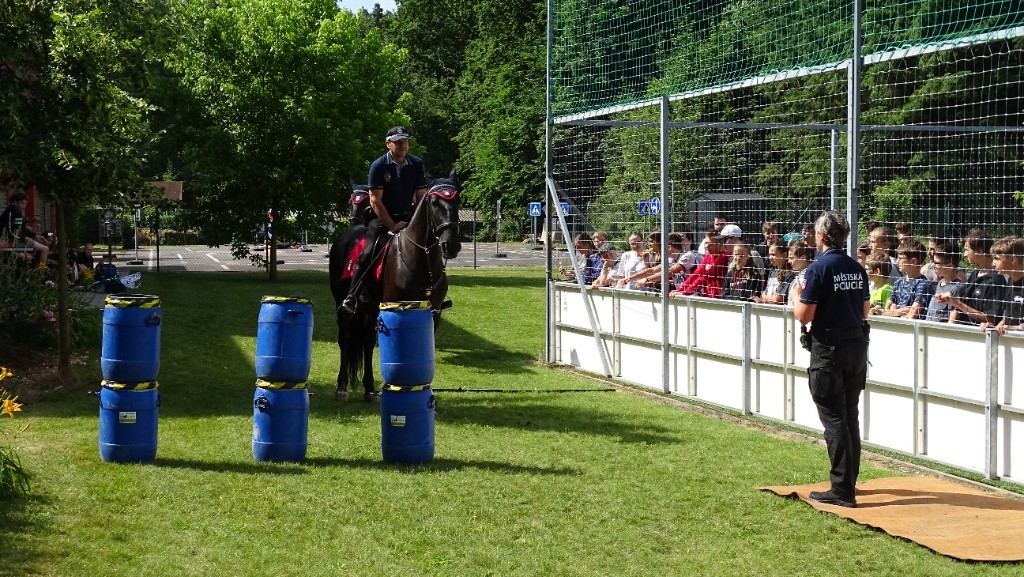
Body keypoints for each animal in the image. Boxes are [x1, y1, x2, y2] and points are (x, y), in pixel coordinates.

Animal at [328, 171, 462, 402]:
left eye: (457, 200)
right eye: (434, 203)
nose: (451, 244)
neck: (421, 260)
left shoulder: (433, 313)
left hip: (372, 307)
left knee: (368, 342)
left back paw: (369, 388)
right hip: (342, 304)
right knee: (345, 339)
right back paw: (342, 387)